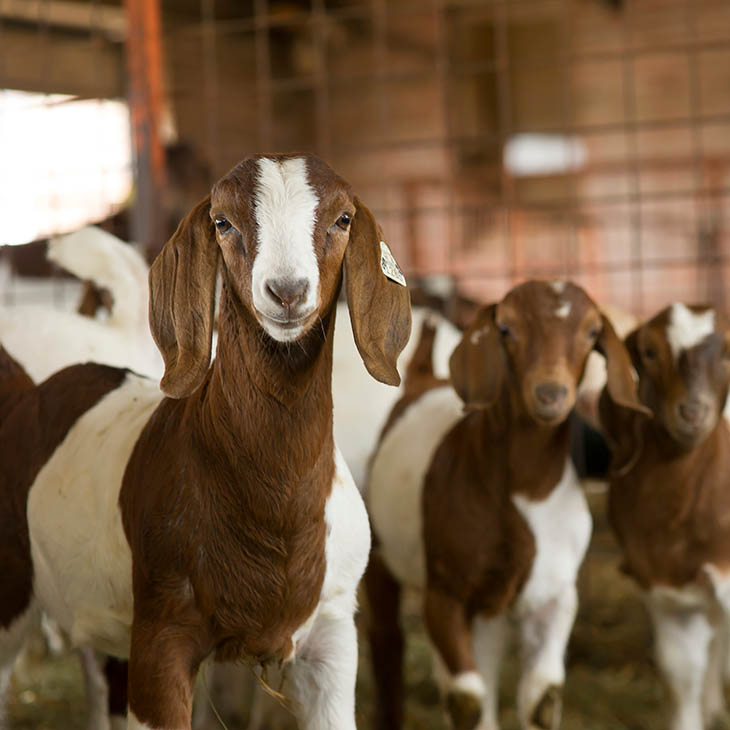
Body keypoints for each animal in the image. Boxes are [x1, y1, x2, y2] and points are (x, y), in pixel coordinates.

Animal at [0, 153, 411, 730]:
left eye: (344, 219)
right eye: (222, 222)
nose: (287, 292)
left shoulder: (332, 634)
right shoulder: (161, 634)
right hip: (11, 586)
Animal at [364, 279, 646, 730]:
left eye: (591, 333)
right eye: (506, 329)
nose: (550, 394)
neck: (525, 491)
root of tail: (423, 378)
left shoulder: (555, 596)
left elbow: (541, 699)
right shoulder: (445, 595)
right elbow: (467, 699)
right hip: (381, 549)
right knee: (387, 636)